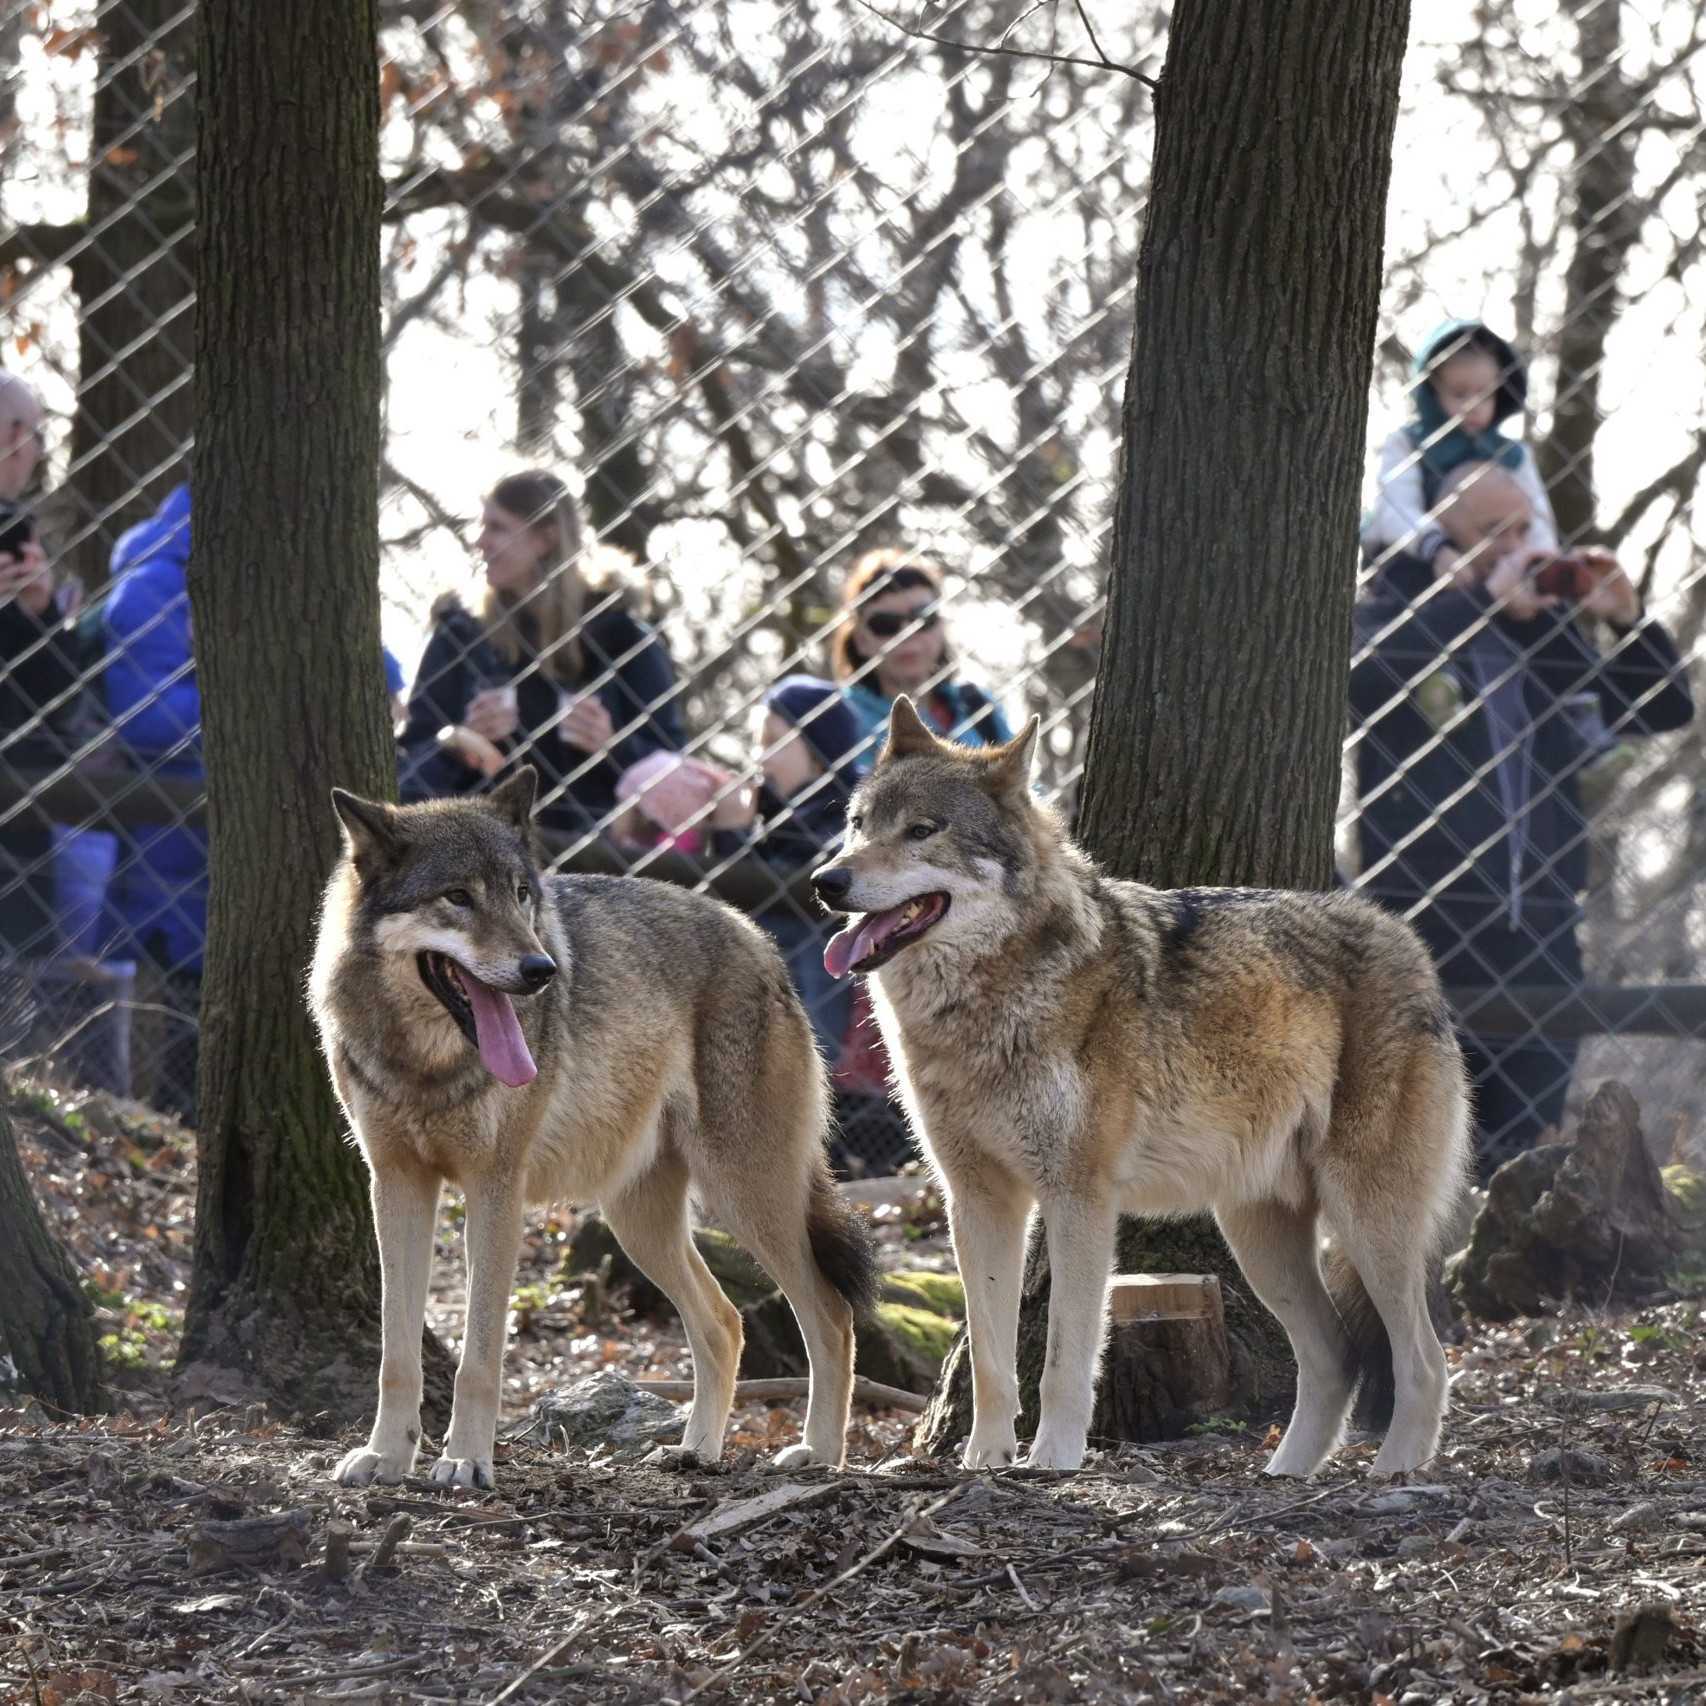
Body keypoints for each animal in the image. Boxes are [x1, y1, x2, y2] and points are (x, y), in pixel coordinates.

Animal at [307, 767, 873, 1487]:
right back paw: (696, 1450)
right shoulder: (397, 1184)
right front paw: (386, 1456)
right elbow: (396, 1353)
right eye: (458, 897)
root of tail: (756, 936)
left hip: (745, 1195)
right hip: (638, 1222)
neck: (427, 1066)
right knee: (724, 1322)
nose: (540, 971)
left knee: (831, 1314)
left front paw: (465, 1460)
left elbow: (479, 1356)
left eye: (521, 894)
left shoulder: (496, 1188)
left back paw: (819, 1455)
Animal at [808, 699, 1467, 1473]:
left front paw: (1052, 1462)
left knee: (1424, 1361)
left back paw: (1395, 1470)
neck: (988, 1005)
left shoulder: (1079, 1197)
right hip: (1258, 1234)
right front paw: (984, 1462)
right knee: (1335, 1358)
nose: (825, 882)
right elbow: (993, 1363)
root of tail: (1408, 940)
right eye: (857, 823)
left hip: (1363, 1217)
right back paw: (1285, 1474)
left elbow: (1064, 1358)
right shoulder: (976, 1200)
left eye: (922, 830)